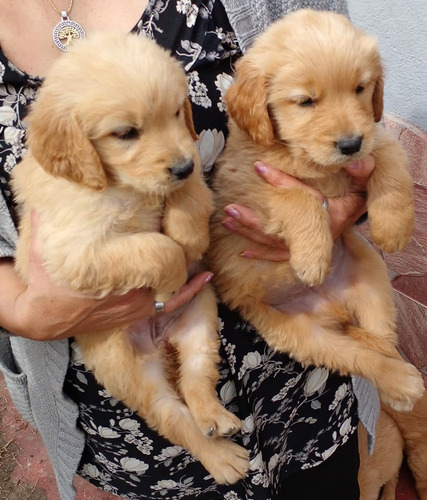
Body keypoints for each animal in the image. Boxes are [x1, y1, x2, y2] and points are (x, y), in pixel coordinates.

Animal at [12, 31, 251, 484]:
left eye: (177, 112)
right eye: (125, 133)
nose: (181, 165)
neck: (120, 184)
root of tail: (161, 337)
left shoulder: (191, 167)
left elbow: (191, 197)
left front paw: (188, 235)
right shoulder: (72, 253)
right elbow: (156, 247)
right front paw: (172, 275)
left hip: (201, 319)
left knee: (196, 378)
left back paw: (216, 419)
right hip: (132, 373)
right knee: (172, 417)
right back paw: (222, 459)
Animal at [207, 9, 424, 412]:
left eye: (360, 88)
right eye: (306, 101)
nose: (350, 144)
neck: (309, 160)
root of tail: (334, 311)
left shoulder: (376, 135)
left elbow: (390, 165)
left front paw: (393, 227)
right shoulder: (243, 186)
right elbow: (298, 196)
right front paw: (311, 258)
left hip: (373, 280)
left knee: (381, 340)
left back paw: (400, 384)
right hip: (305, 337)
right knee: (360, 357)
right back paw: (400, 381)